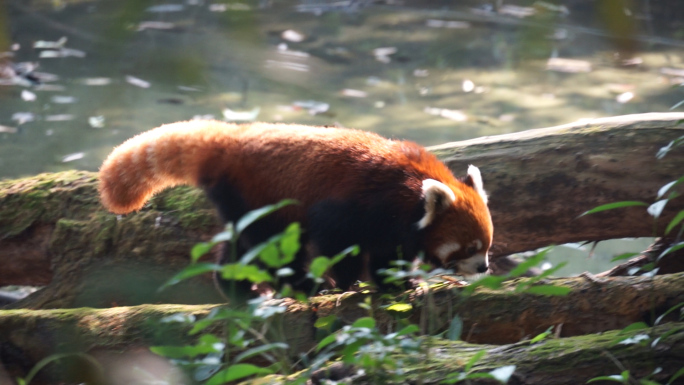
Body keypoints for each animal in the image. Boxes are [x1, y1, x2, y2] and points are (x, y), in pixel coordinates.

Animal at [99, 121, 492, 292]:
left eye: (486, 246)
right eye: (469, 248)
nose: (484, 268)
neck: (409, 188)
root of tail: (230, 139)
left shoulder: (392, 225)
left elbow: (388, 252)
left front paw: (397, 283)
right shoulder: (355, 205)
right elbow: (339, 244)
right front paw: (349, 283)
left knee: (240, 244)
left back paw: (234, 287)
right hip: (263, 198)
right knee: (272, 245)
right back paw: (303, 284)